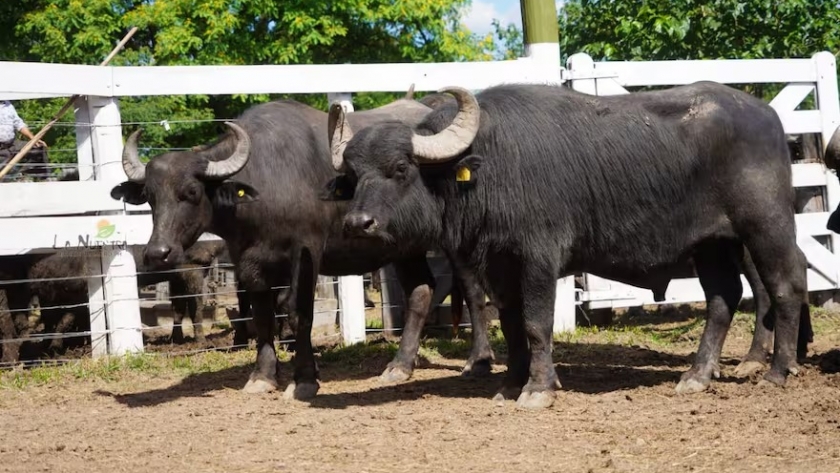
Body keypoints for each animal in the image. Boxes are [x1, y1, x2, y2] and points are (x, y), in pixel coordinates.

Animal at [108, 92, 496, 398]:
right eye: (150, 197)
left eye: (190, 191)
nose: (158, 252)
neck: (265, 184)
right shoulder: (248, 261)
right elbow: (262, 314)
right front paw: (262, 376)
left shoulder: (306, 252)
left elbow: (298, 313)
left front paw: (305, 379)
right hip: (403, 246)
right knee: (420, 290)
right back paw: (400, 365)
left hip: (456, 240)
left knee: (472, 289)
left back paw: (477, 360)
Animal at [328, 80, 820, 406]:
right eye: (354, 175)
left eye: (400, 169)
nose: (358, 222)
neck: (491, 167)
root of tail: (769, 117)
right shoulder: (499, 265)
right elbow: (512, 324)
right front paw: (511, 384)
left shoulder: (539, 259)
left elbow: (536, 324)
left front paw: (538, 389)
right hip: (712, 244)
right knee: (723, 299)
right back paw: (697, 375)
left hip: (765, 225)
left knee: (785, 285)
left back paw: (777, 370)